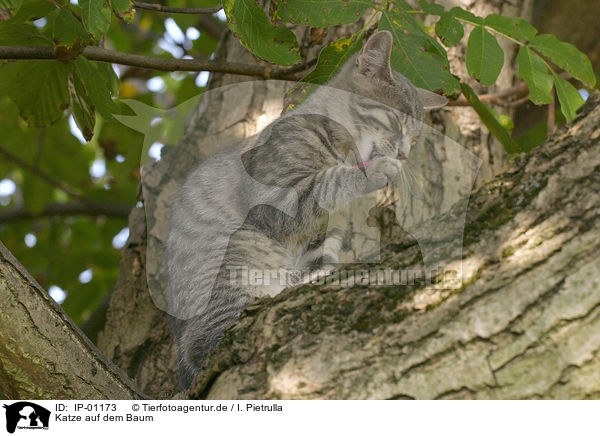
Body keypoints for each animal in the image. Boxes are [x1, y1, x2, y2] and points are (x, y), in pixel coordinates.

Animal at [166, 29, 448, 388]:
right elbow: (329, 181)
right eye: (397, 122)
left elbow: (318, 263)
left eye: (415, 140)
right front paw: (371, 171)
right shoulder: (277, 198)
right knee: (206, 340)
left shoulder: (323, 232)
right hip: (239, 260)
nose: (403, 155)